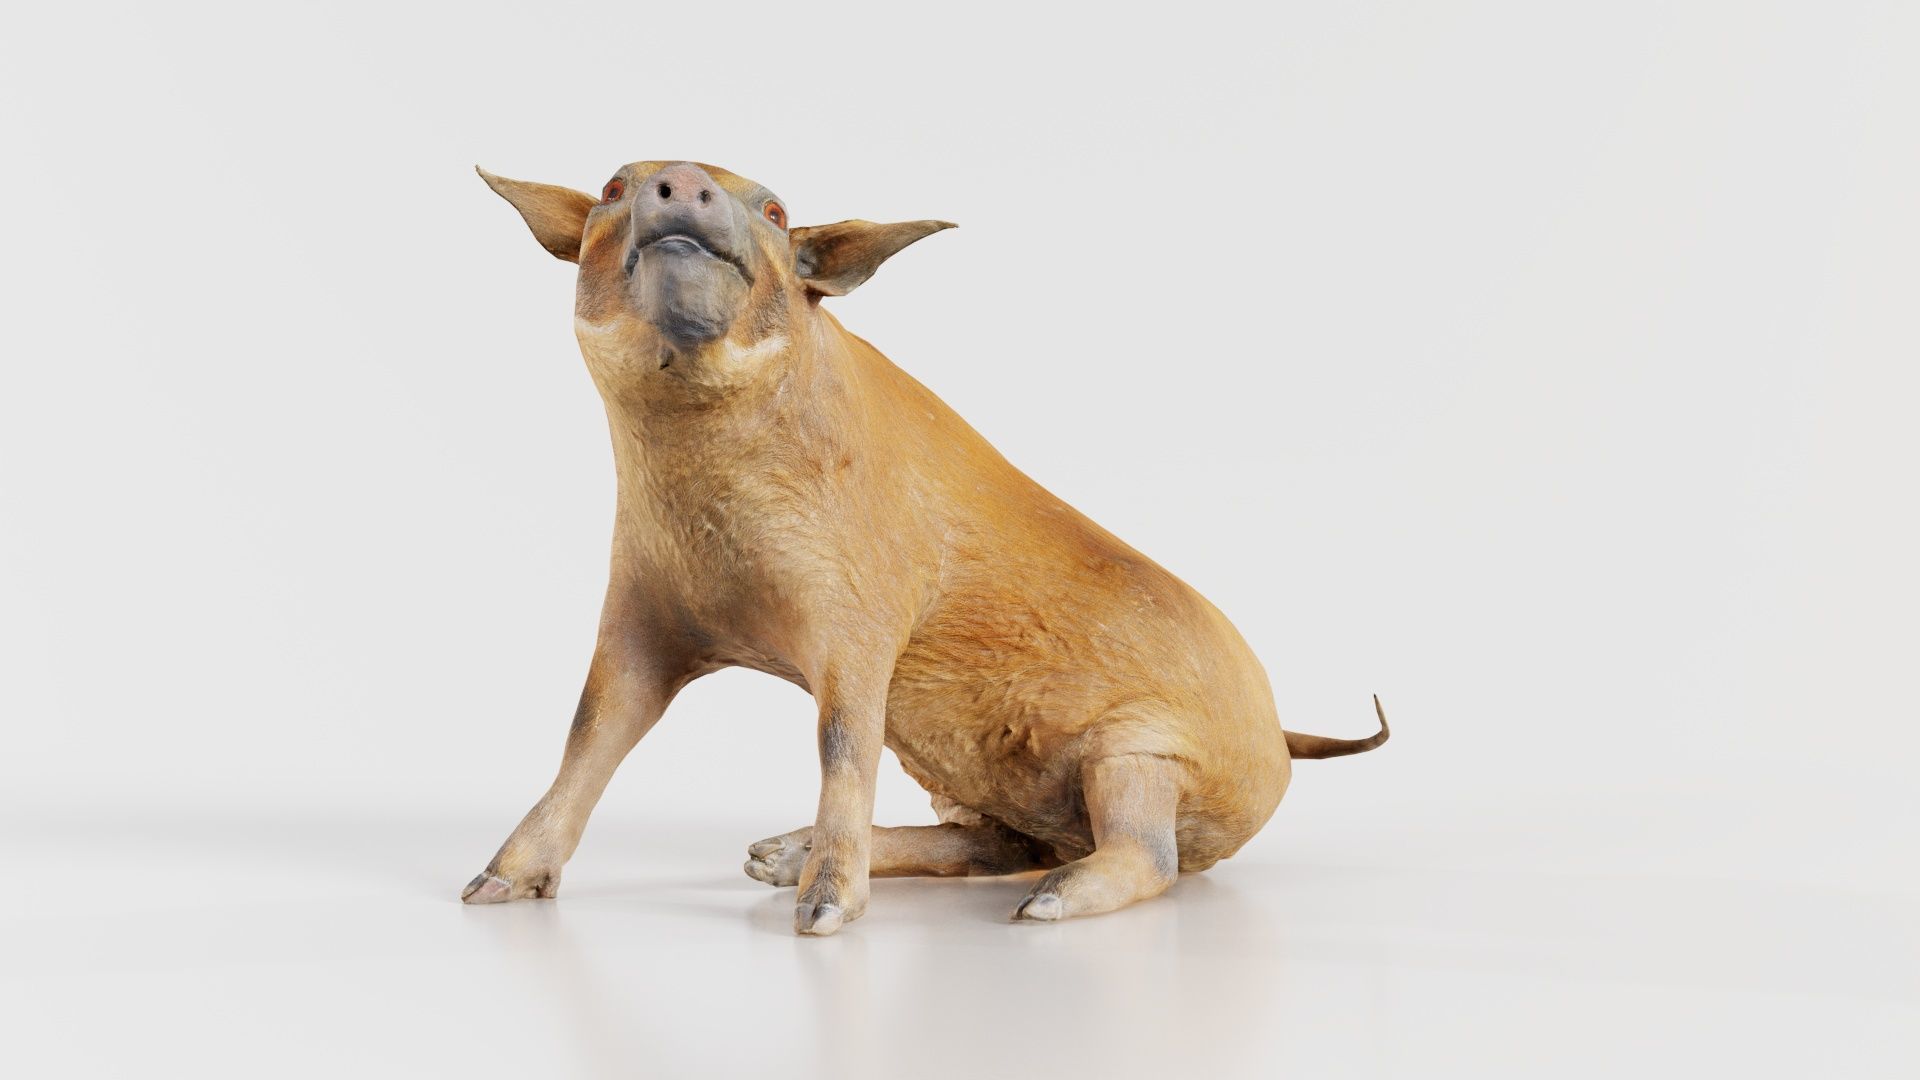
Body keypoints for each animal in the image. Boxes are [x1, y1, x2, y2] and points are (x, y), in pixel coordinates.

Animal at [463, 160, 1388, 935]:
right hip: (971, 781)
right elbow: (590, 731)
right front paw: (488, 889)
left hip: (1142, 753)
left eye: (776, 209)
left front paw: (821, 919)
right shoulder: (642, 608)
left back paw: (1038, 908)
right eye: (615, 186)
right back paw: (770, 855)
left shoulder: (864, 610)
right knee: (1000, 843)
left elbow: (843, 742)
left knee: (1142, 853)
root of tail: (1279, 735)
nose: (684, 178)